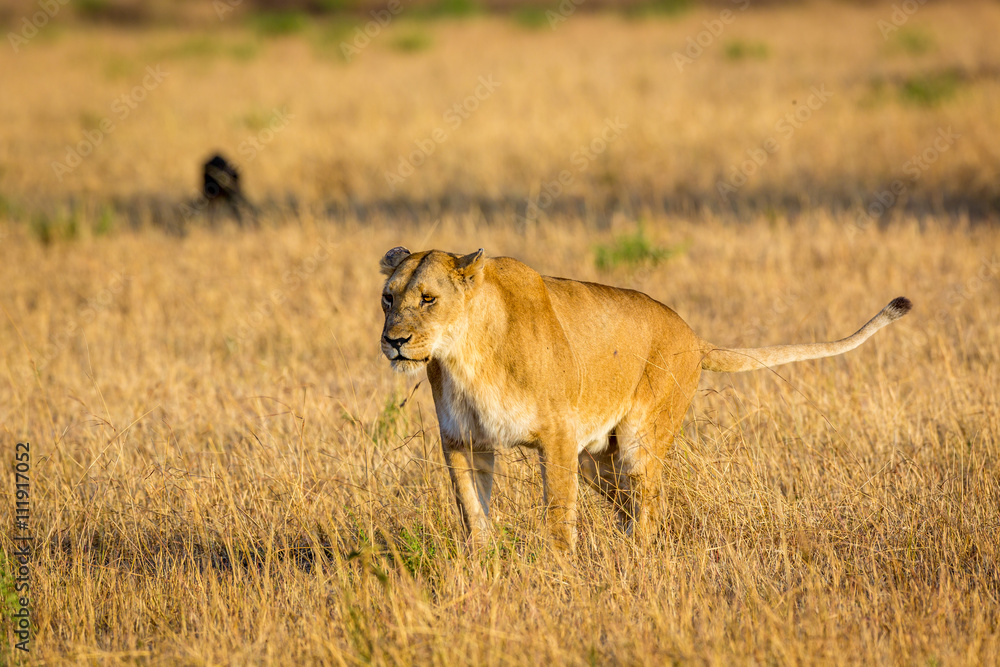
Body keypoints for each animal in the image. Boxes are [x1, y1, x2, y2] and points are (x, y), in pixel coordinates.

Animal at [379, 246, 912, 552]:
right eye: (388, 298)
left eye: (428, 299)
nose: (394, 341)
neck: (465, 356)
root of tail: (693, 336)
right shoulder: (463, 442)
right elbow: (474, 514)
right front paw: (482, 570)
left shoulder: (557, 437)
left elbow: (558, 520)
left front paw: (558, 578)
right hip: (597, 458)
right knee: (628, 507)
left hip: (639, 439)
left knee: (651, 507)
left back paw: (639, 562)